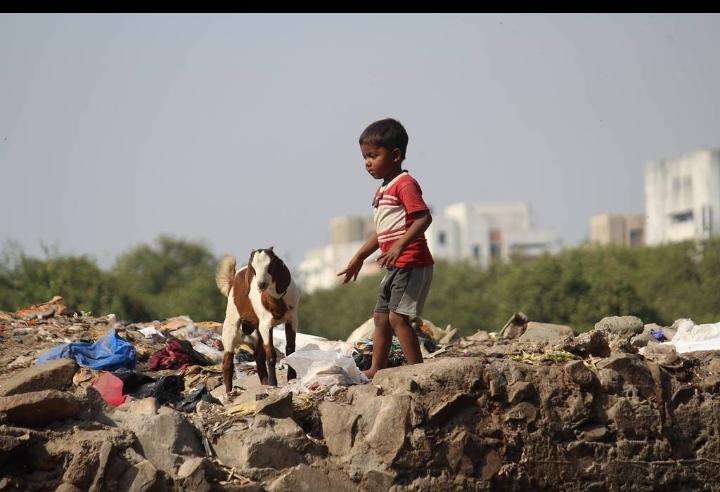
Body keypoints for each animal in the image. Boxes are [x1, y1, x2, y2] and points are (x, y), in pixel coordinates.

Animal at [217, 248, 300, 390]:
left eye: (270, 265)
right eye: (253, 268)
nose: (261, 284)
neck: (275, 301)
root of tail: (232, 281)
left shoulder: (292, 320)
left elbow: (290, 349)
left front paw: (291, 378)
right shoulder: (266, 325)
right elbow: (271, 354)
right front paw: (273, 383)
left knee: (258, 355)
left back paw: (264, 382)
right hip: (231, 319)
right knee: (227, 360)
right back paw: (229, 392)